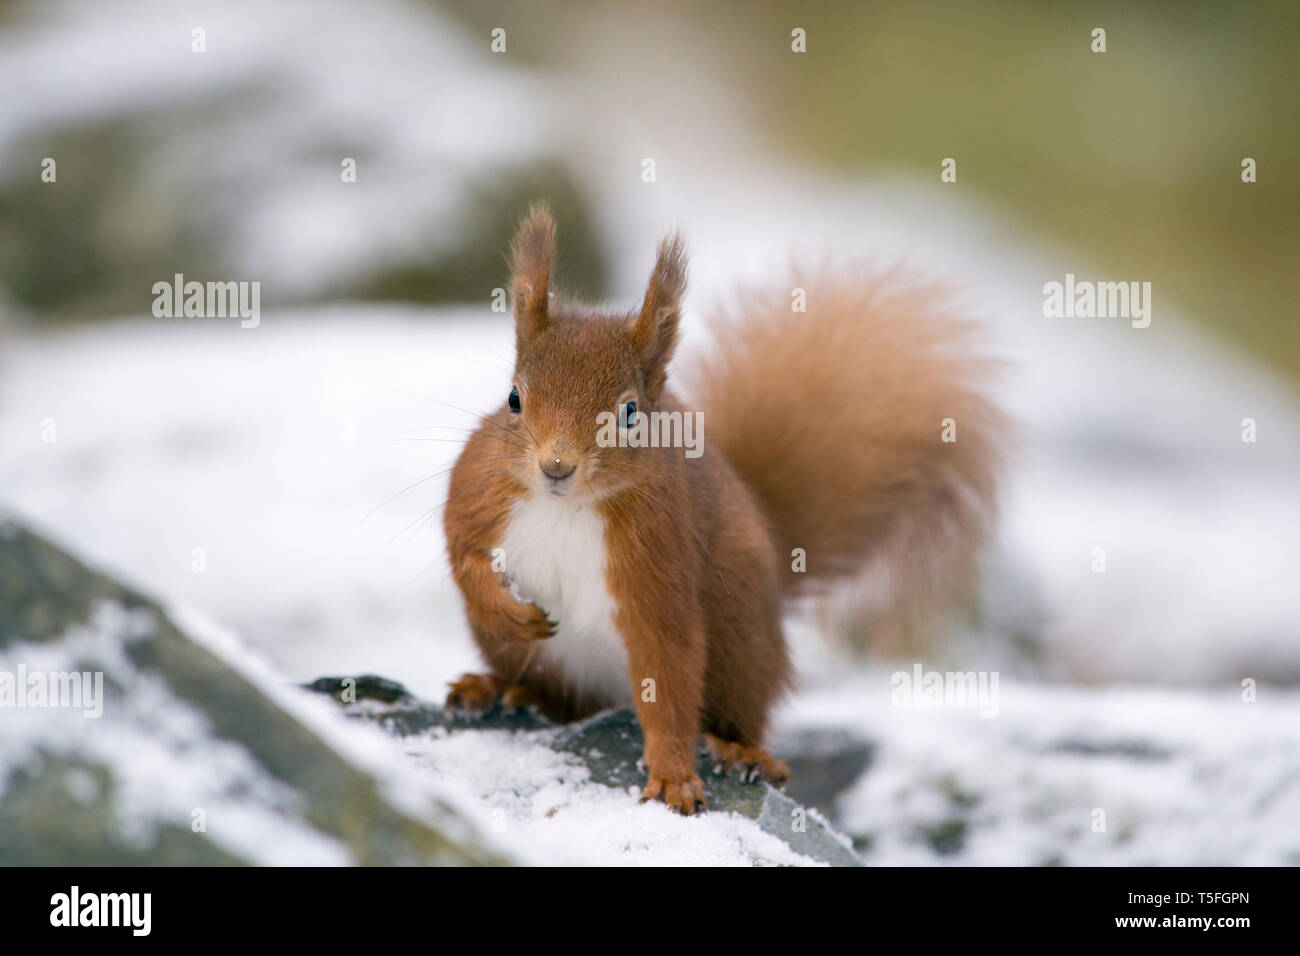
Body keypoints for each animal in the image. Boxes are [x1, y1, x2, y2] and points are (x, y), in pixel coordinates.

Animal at [442, 204, 1007, 814]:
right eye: (514, 399)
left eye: (630, 413)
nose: (555, 467)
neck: (567, 507)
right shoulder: (478, 495)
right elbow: (464, 557)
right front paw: (506, 610)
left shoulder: (659, 567)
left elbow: (668, 670)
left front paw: (672, 776)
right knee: (560, 701)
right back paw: (496, 687)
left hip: (740, 637)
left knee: (730, 710)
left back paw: (741, 751)